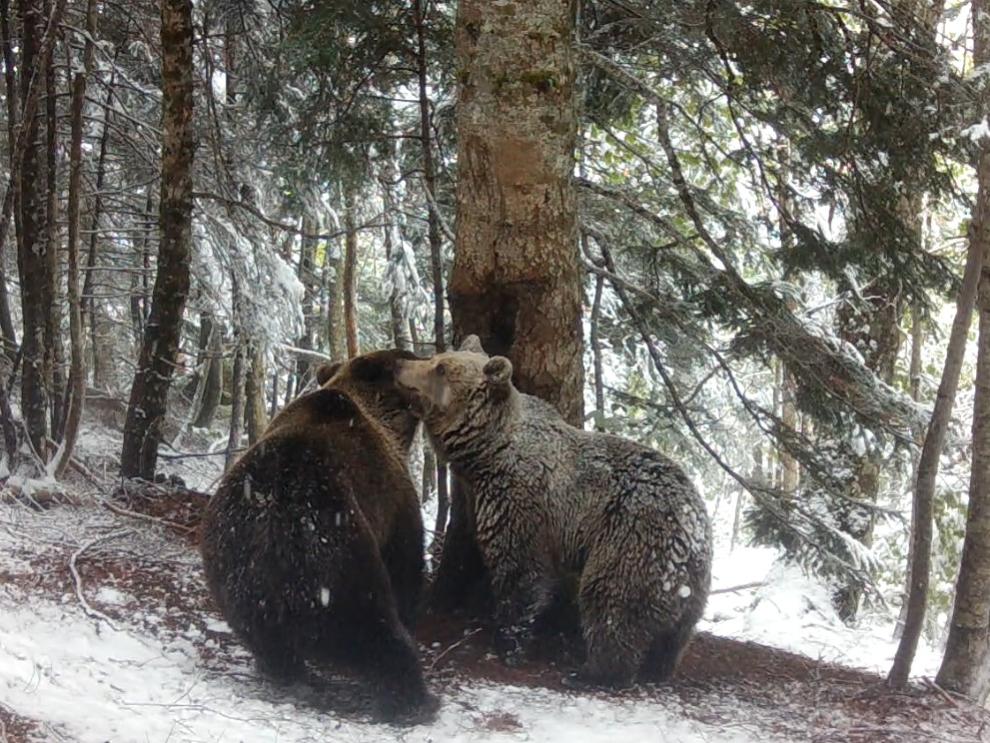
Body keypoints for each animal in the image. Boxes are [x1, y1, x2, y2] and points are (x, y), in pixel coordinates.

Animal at [199, 349, 436, 721]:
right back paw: (414, 698)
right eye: (413, 362)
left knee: (262, 636)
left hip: (230, 560)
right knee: (372, 623)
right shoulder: (393, 498)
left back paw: (286, 671)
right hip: (340, 550)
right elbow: (406, 566)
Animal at [395, 336, 713, 687]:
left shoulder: (521, 501)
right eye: (438, 357)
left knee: (610, 601)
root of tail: (693, 530)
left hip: (632, 540)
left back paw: (592, 672)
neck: (486, 453)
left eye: (440, 368)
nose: (400, 364)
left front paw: (506, 643)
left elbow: (522, 573)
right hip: (693, 583)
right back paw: (658, 667)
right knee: (676, 632)